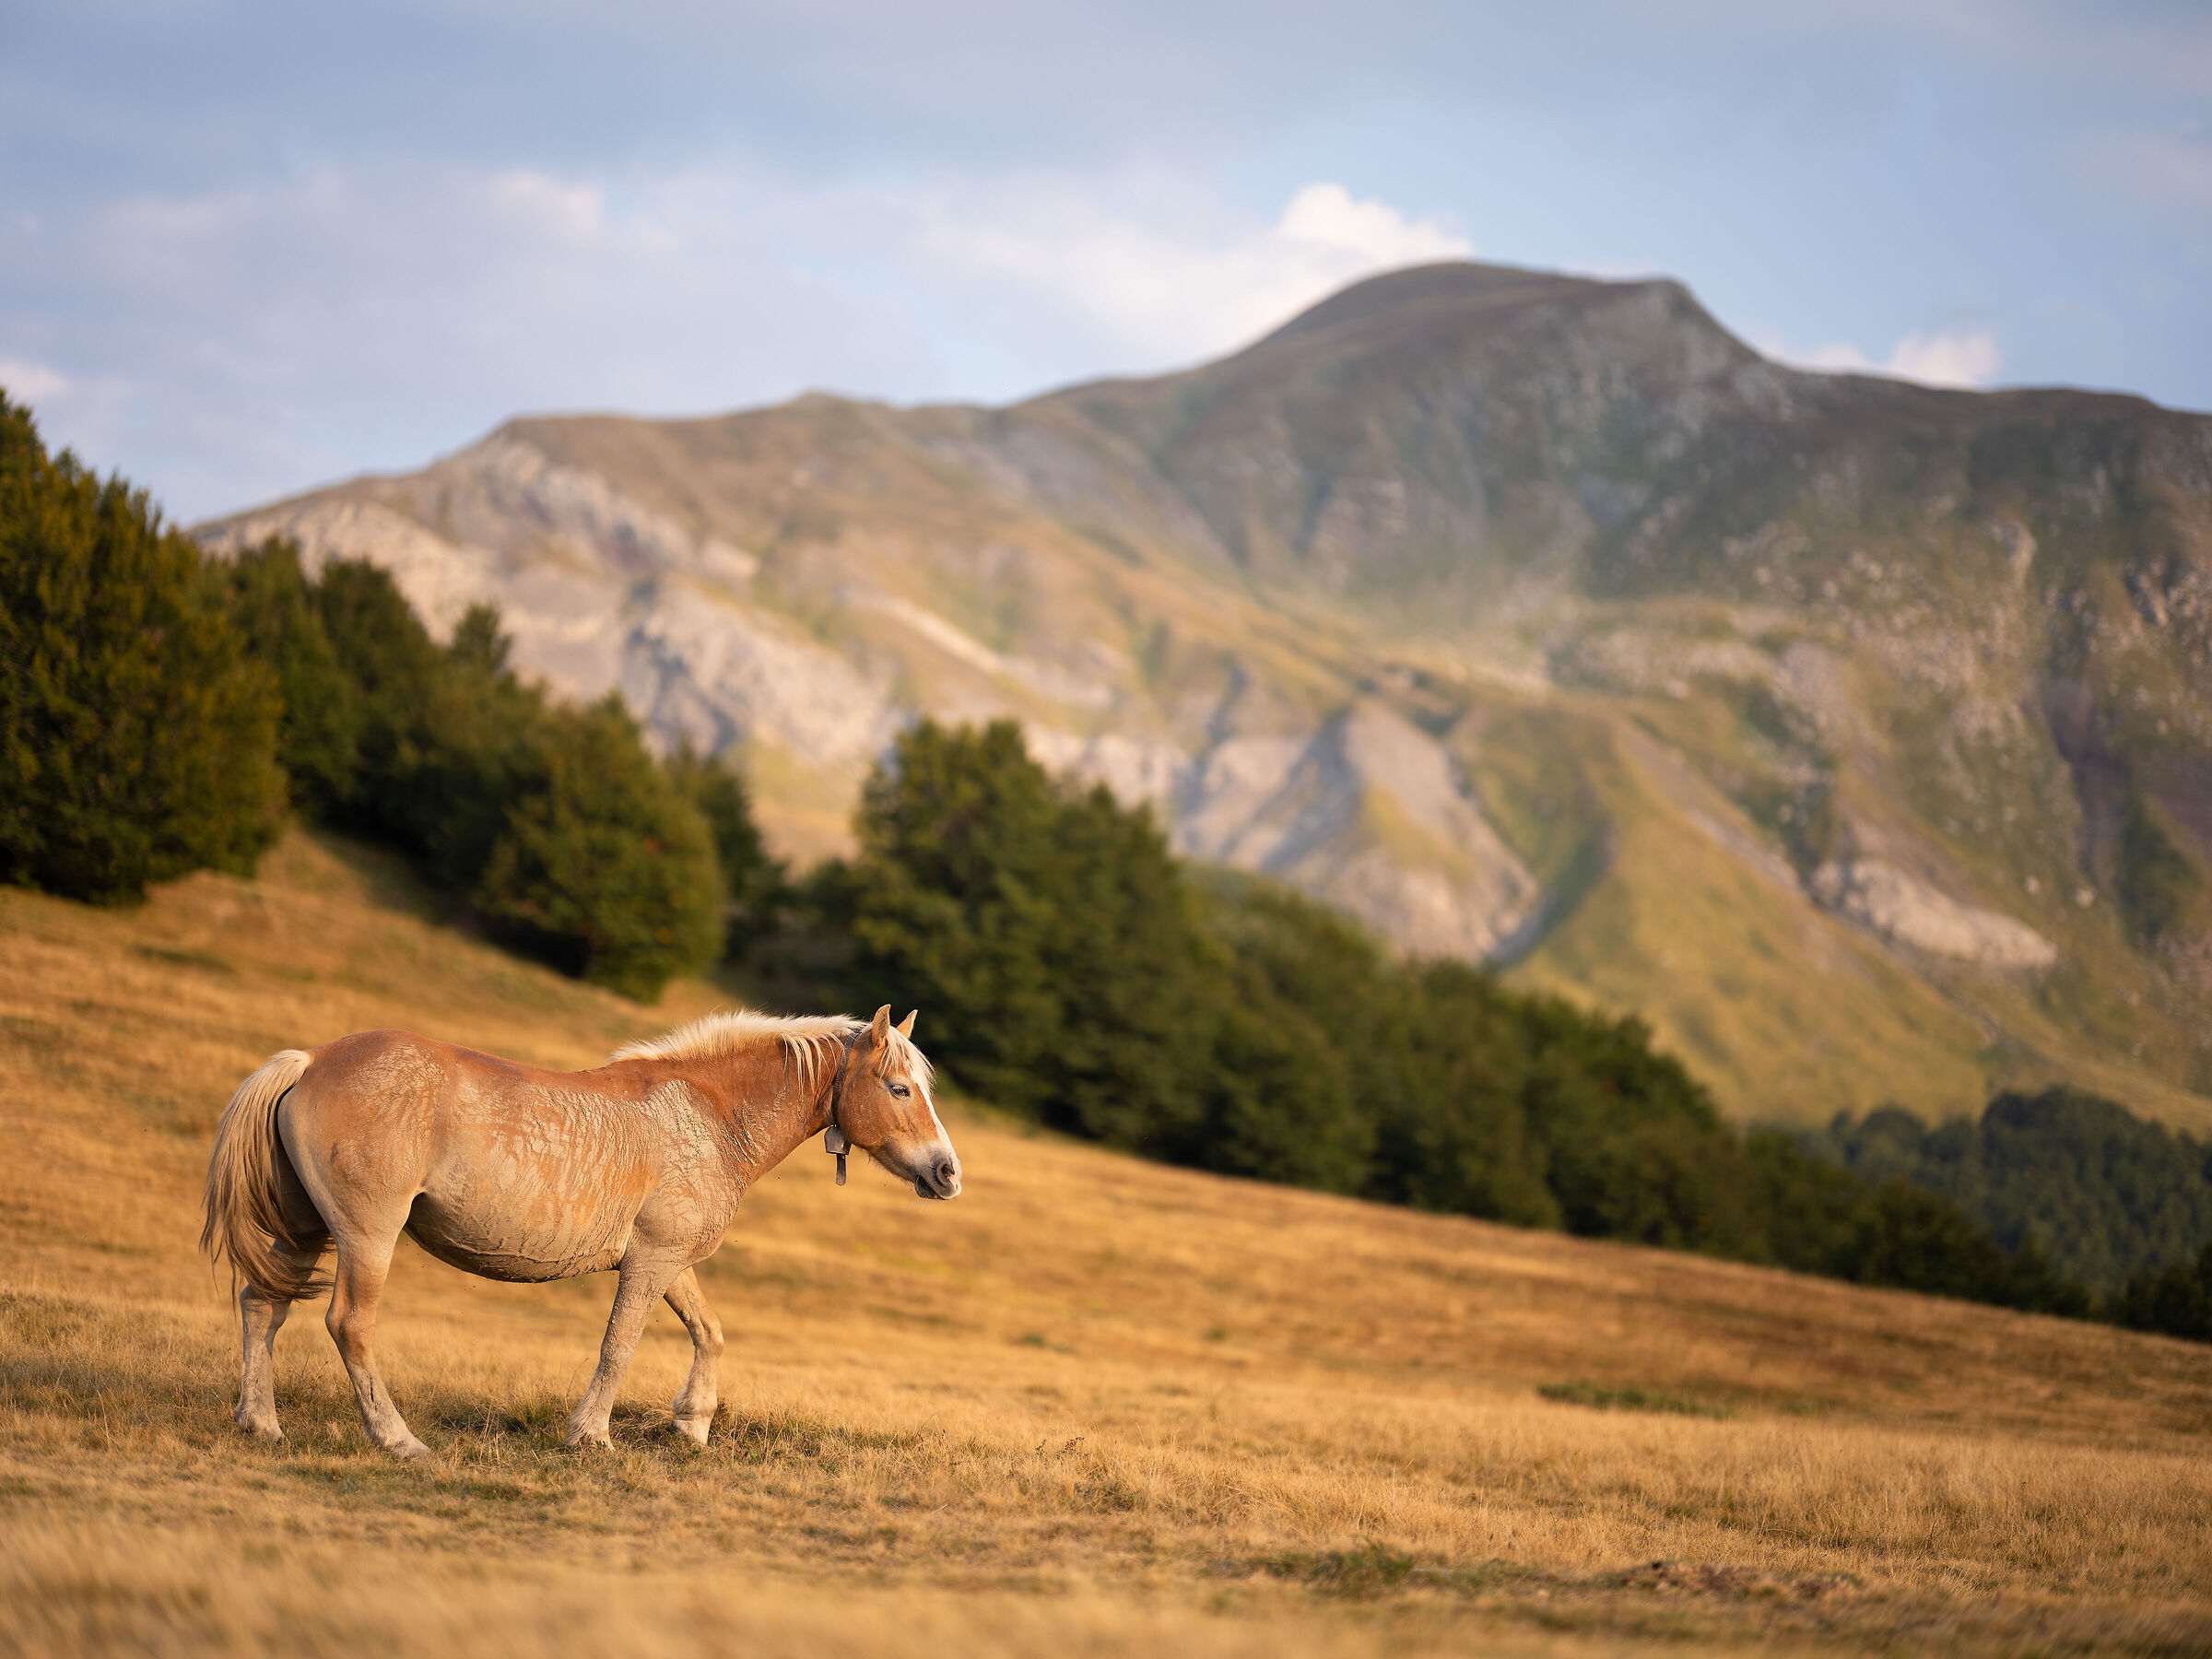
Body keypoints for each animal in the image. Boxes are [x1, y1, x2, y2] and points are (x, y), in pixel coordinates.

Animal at [200, 1004, 958, 1458]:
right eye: (899, 1089)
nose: (948, 1172)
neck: (708, 1115)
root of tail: (311, 1061)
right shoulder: (651, 1263)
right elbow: (618, 1347)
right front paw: (590, 1434)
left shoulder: (667, 1260)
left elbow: (709, 1332)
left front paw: (692, 1423)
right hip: (366, 1237)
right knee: (350, 1325)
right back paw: (396, 1439)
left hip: (302, 1231)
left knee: (262, 1307)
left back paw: (260, 1422)